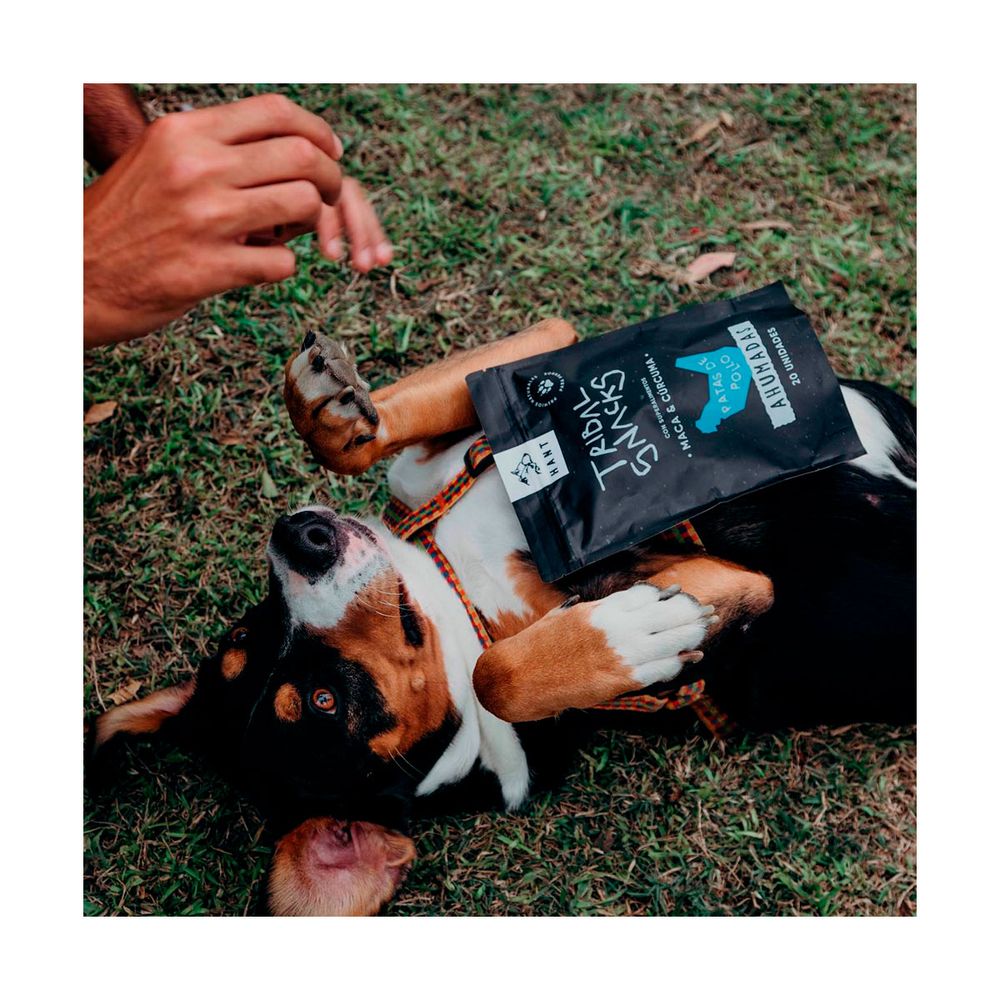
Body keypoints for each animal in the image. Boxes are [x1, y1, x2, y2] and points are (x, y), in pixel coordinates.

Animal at [89, 318, 916, 916]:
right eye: (327, 701)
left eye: (246, 630)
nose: (299, 539)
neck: (454, 589)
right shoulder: (734, 593)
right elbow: (499, 676)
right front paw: (631, 634)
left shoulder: (495, 400)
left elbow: (383, 439)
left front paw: (329, 403)